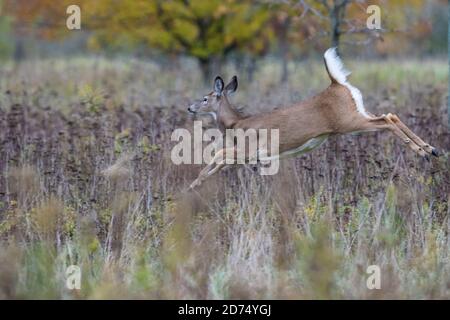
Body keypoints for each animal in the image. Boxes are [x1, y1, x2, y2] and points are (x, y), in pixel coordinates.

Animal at [187, 48, 440, 189]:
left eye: (204, 98)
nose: (190, 107)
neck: (235, 124)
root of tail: (336, 84)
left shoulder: (251, 149)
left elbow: (219, 154)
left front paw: (195, 182)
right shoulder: (247, 155)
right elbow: (221, 162)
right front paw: (196, 185)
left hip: (349, 121)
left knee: (386, 120)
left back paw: (423, 151)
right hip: (358, 113)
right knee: (390, 115)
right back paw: (431, 149)